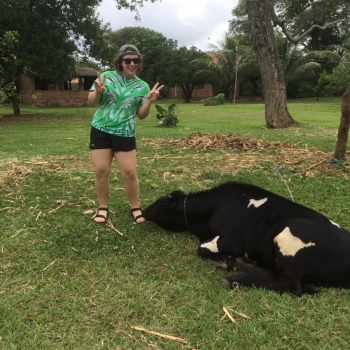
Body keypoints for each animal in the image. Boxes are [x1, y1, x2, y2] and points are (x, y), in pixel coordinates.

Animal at [142, 182, 350, 296]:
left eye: (160, 203)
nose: (142, 212)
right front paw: (233, 261)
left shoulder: (231, 241)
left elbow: (201, 249)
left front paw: (231, 258)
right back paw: (236, 267)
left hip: (288, 238)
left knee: (290, 286)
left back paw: (235, 276)